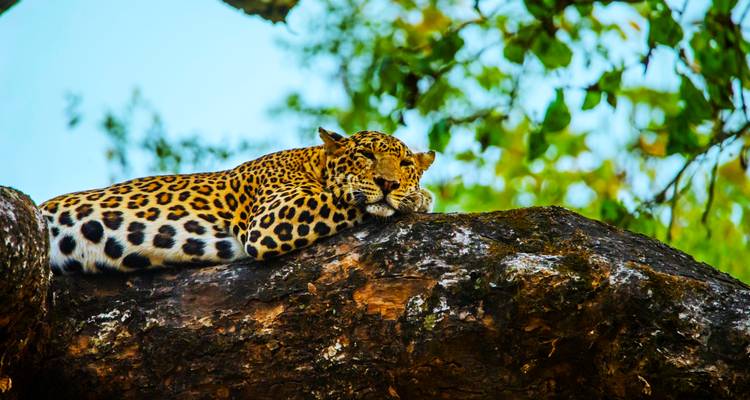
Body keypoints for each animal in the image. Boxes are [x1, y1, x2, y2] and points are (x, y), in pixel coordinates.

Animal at [39, 128, 435, 274]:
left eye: (405, 164)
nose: (389, 182)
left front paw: (412, 194)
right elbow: (344, 197)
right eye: (366, 155)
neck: (313, 162)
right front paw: (419, 197)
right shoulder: (273, 218)